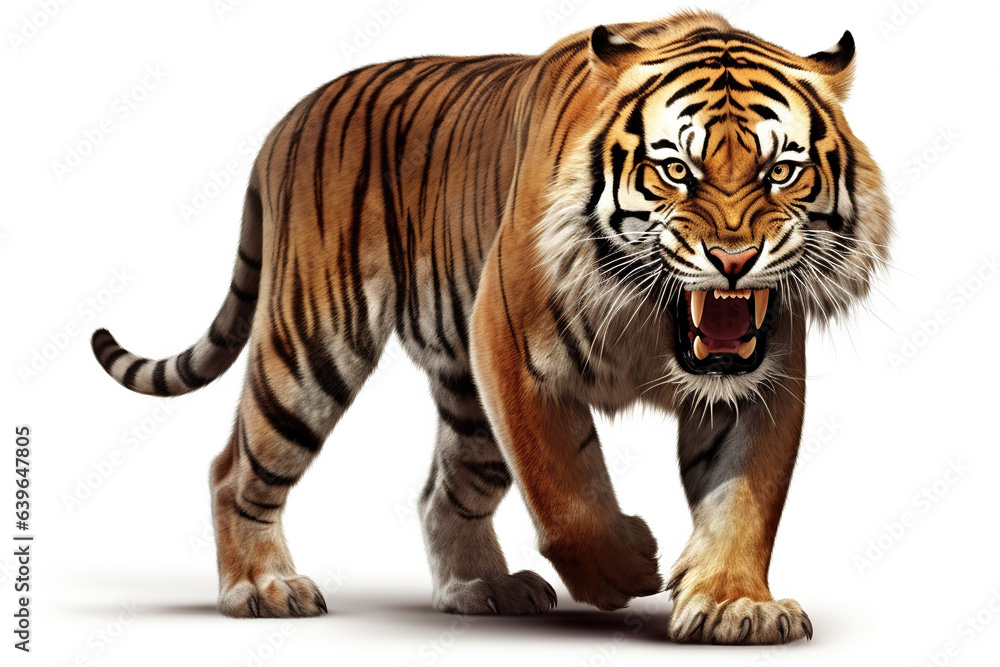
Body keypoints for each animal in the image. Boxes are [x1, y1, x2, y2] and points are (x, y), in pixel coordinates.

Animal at [91, 10, 891, 644]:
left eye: (781, 171)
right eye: (675, 171)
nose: (733, 259)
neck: (652, 326)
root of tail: (291, 117)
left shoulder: (763, 377)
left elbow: (745, 498)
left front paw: (735, 605)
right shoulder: (509, 345)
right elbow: (565, 490)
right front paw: (626, 566)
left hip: (466, 406)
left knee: (442, 491)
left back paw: (484, 589)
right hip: (312, 341)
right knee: (236, 466)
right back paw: (261, 588)